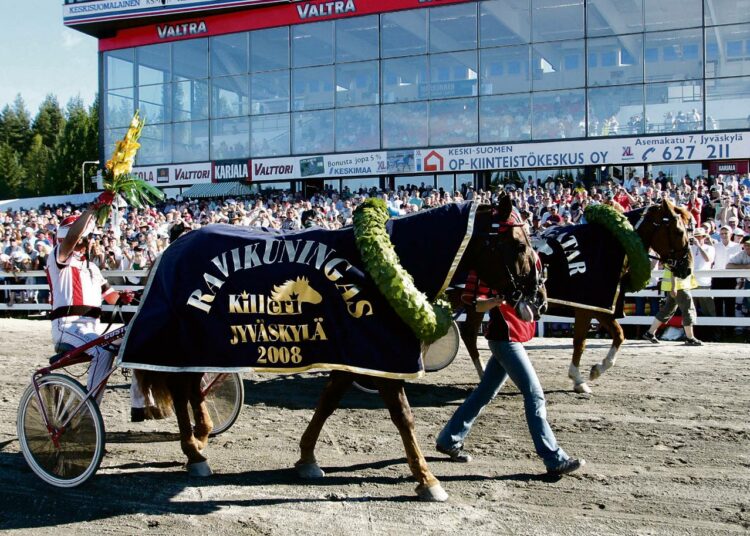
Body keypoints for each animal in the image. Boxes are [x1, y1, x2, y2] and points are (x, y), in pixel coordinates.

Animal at [137, 194, 540, 502]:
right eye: (519, 244)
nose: (535, 292)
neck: (388, 263)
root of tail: (171, 249)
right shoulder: (380, 354)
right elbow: (403, 417)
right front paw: (427, 479)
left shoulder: (356, 353)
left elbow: (328, 401)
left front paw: (306, 458)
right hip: (181, 342)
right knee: (181, 388)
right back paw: (194, 451)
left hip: (197, 344)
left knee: (189, 387)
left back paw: (202, 437)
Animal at [452, 199, 692, 392]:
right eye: (679, 232)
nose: (687, 267)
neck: (611, 243)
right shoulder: (586, 306)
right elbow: (580, 342)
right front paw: (579, 379)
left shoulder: (599, 307)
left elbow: (619, 335)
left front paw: (597, 369)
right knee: (470, 334)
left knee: (469, 334)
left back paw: (482, 372)